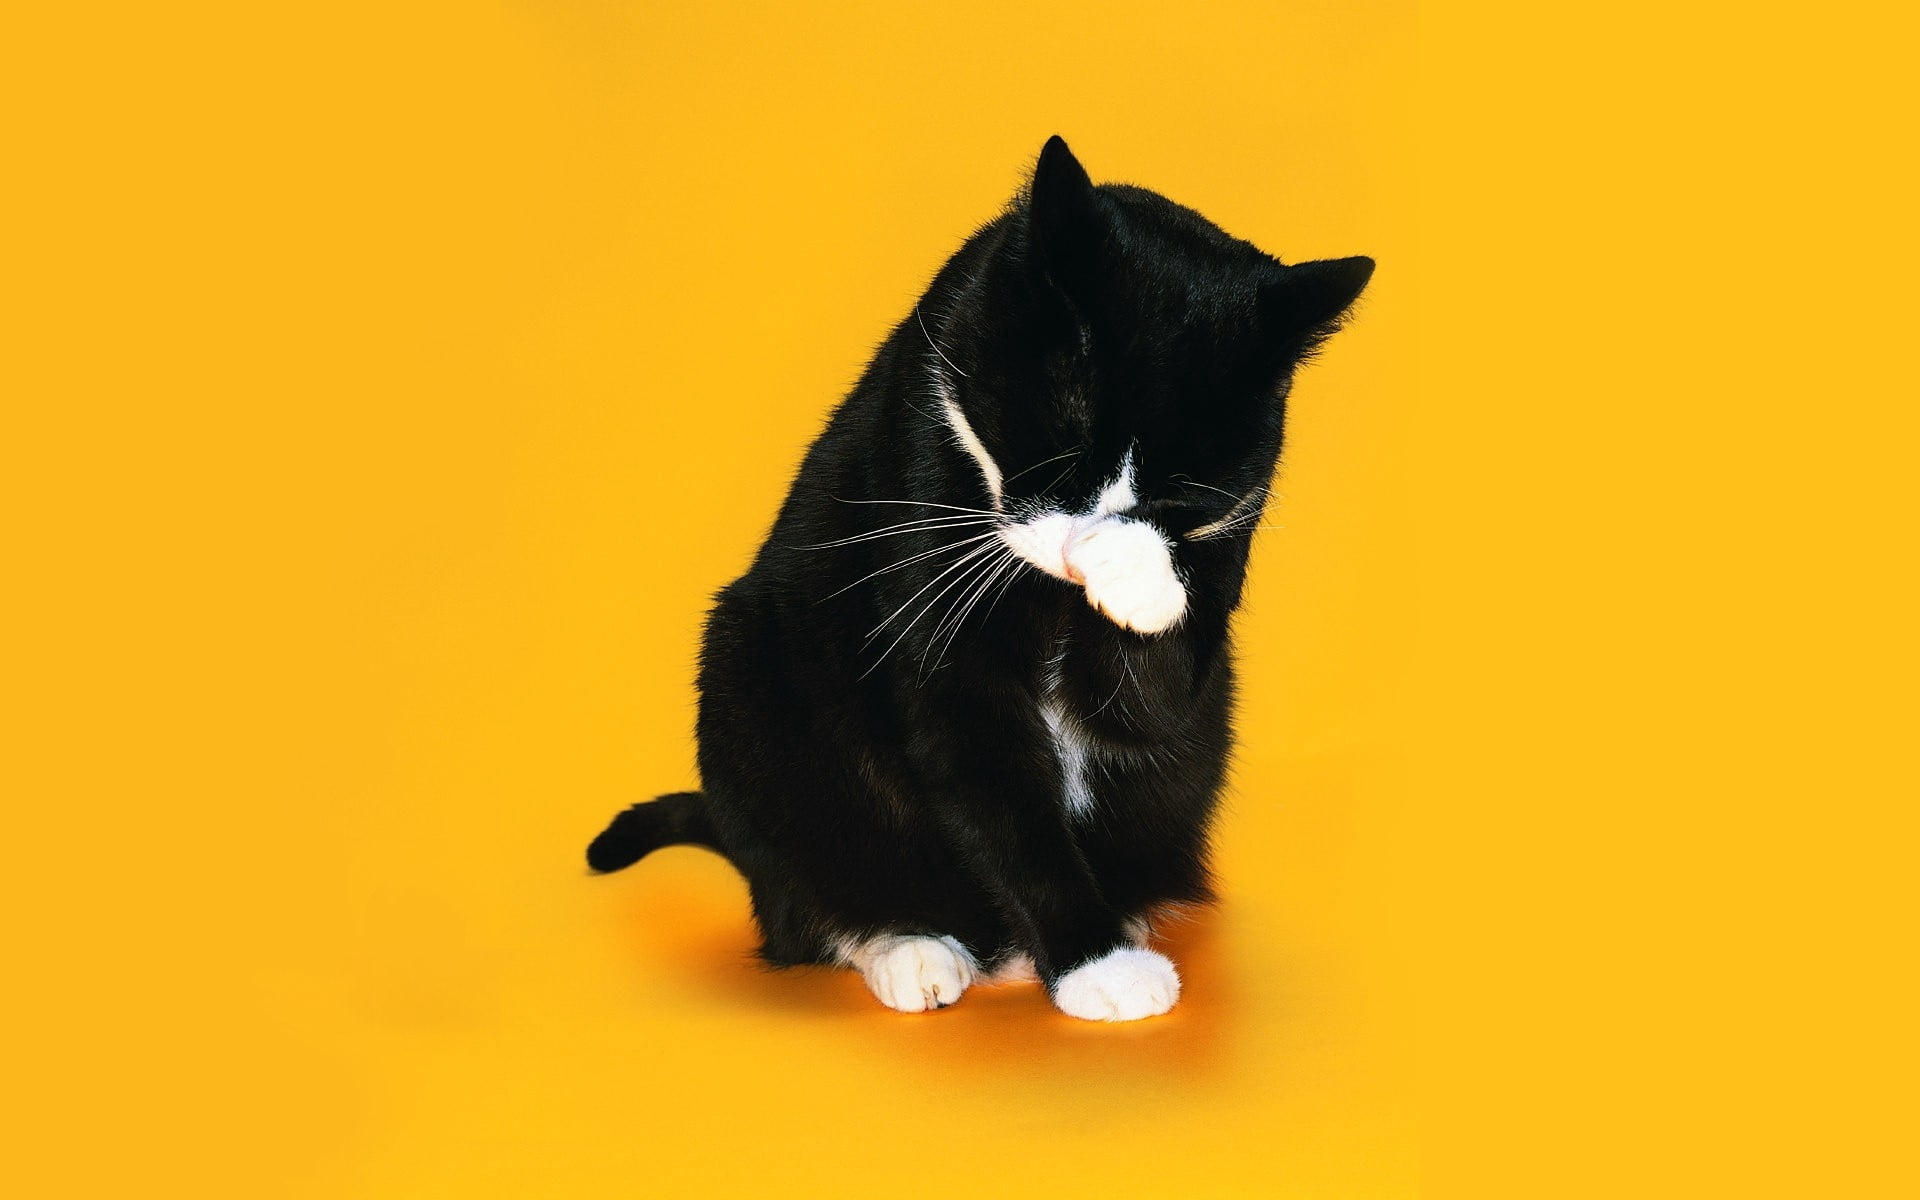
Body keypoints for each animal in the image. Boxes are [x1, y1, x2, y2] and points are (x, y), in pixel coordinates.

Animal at [583, 138, 1367, 1021]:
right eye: (1062, 440)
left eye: (1180, 491)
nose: (1082, 544)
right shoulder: (935, 573)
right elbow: (997, 788)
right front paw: (1098, 965)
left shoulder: (1219, 566)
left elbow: (1149, 701)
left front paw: (1134, 572)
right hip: (748, 674)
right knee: (802, 898)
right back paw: (911, 946)